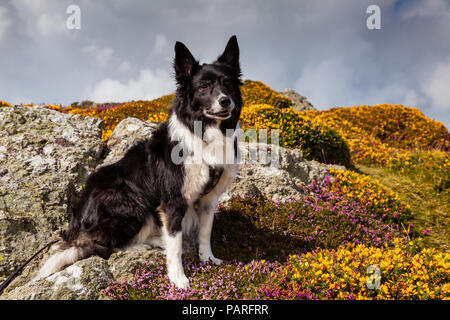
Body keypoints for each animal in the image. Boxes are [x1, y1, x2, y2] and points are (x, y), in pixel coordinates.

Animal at [34, 35, 243, 290]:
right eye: (203, 86)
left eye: (227, 83)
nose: (225, 101)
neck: (204, 133)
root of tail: (77, 226)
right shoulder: (173, 201)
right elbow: (176, 247)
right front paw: (179, 279)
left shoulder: (208, 200)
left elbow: (205, 233)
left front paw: (208, 259)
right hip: (132, 202)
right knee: (102, 246)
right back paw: (147, 243)